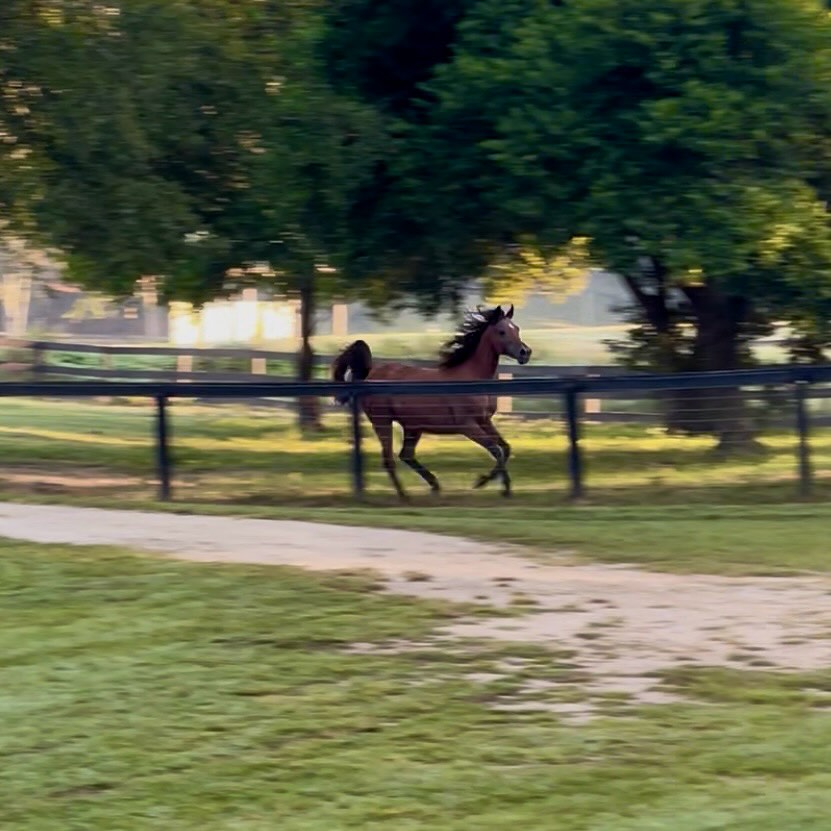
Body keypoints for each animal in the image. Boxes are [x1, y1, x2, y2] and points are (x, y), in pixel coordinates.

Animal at [331, 304, 532, 500]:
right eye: (501, 331)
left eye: (517, 328)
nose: (525, 353)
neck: (471, 378)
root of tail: (370, 372)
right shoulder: (467, 425)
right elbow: (496, 450)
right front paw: (481, 482)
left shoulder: (484, 421)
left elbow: (505, 448)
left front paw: (505, 488)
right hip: (383, 422)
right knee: (389, 459)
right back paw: (403, 495)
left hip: (412, 427)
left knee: (406, 455)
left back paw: (434, 485)